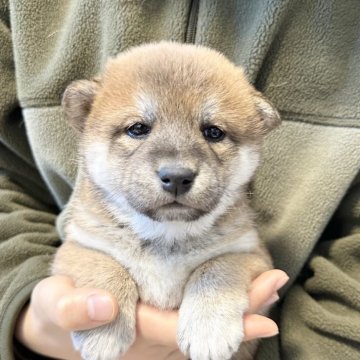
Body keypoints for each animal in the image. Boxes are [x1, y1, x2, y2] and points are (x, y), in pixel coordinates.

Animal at [52, 42, 280, 360]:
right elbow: (105, 268)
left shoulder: (250, 252)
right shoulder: (78, 246)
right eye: (137, 128)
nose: (177, 176)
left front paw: (208, 329)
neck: (166, 235)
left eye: (213, 132)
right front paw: (104, 329)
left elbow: (216, 269)